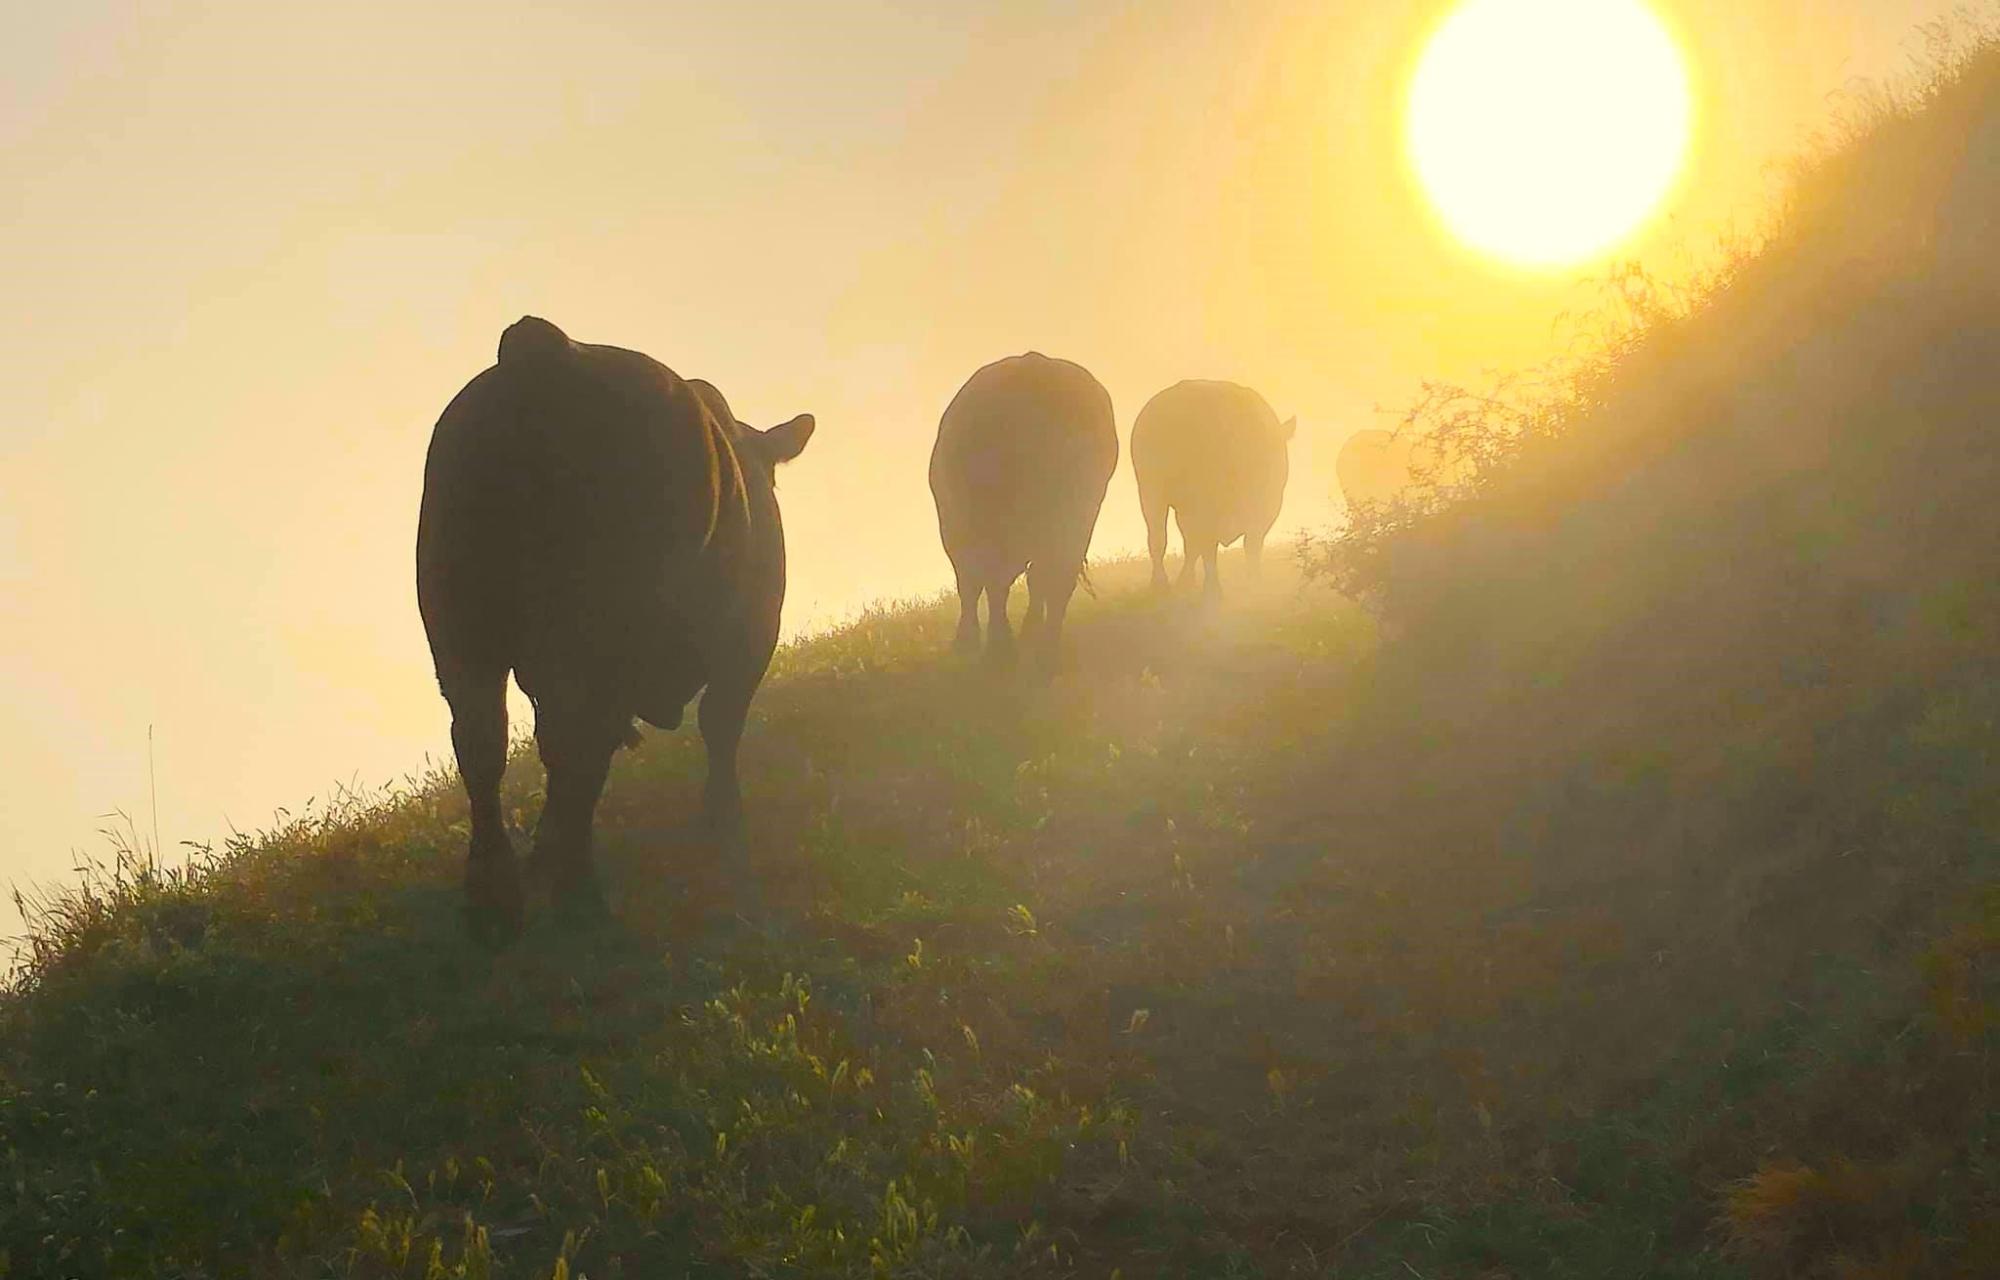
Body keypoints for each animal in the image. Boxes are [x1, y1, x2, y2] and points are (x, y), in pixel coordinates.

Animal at [414, 318, 812, 940]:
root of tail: (543, 350)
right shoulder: (750, 639)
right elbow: (721, 726)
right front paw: (721, 822)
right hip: (595, 631)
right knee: (577, 743)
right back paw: (578, 895)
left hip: (462, 631)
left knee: (485, 742)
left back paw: (495, 900)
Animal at [928, 350, 1120, 672]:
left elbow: (974, 582)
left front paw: (975, 643)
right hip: (1077, 512)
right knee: (1053, 577)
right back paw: (1044, 647)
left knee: (1000, 578)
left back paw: (1007, 647)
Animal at [1128, 380, 1296, 600]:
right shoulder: (1207, 509)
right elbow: (1208, 547)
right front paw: (1213, 589)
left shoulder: (1267, 508)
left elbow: (1251, 545)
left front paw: (1254, 584)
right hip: (1152, 494)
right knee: (1158, 538)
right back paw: (1161, 584)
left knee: (1187, 542)